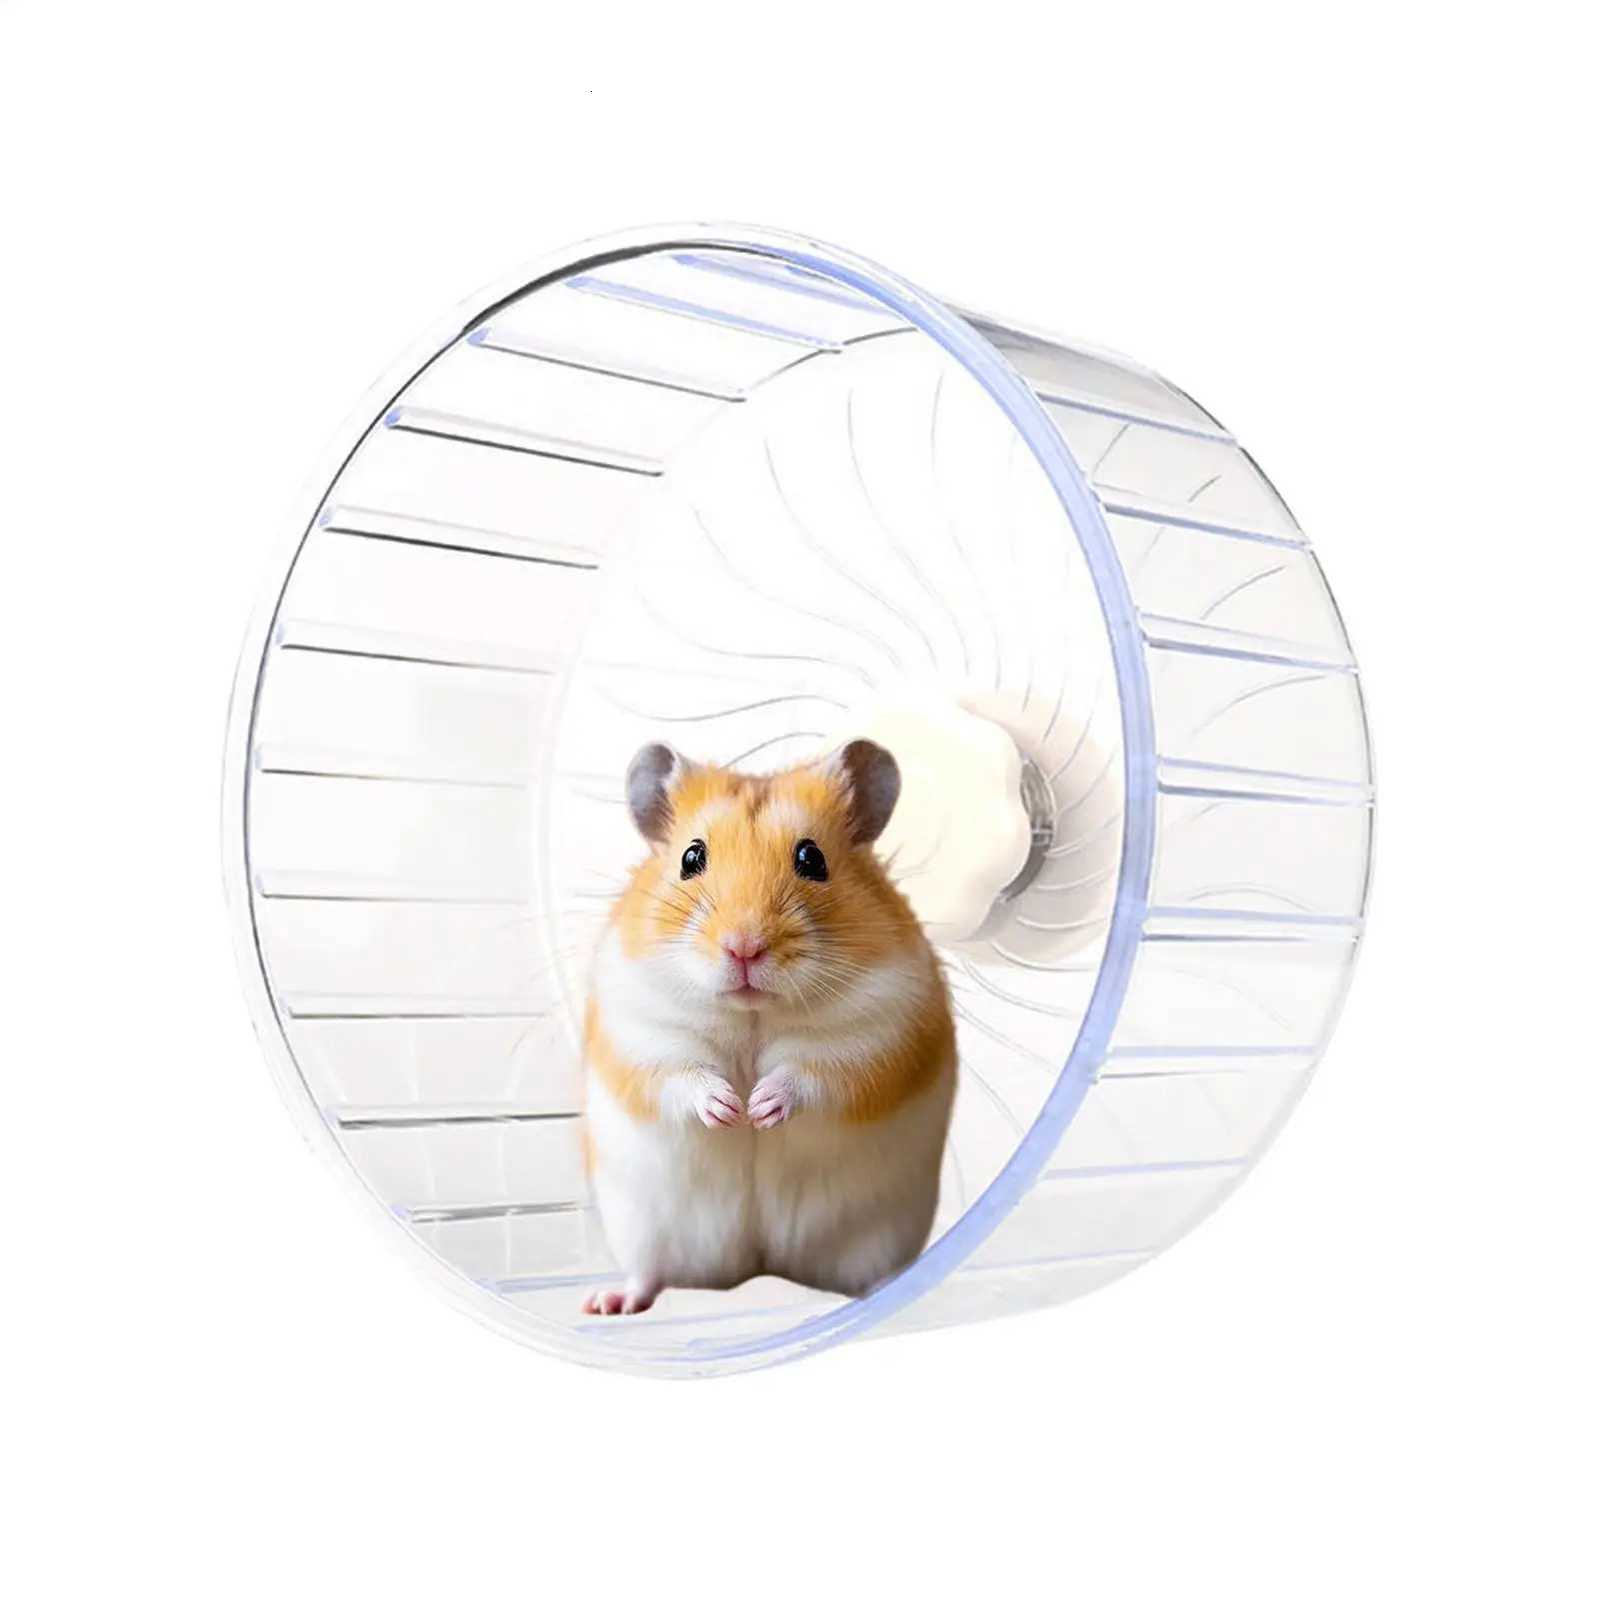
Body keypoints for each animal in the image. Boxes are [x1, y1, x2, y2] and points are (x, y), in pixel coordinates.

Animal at [580, 738, 957, 1316]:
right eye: (691, 858)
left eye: (812, 858)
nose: (744, 947)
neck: (752, 1013)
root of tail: (759, 1265)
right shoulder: (642, 1031)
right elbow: (683, 1074)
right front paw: (728, 1111)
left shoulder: (877, 1033)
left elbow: (809, 1075)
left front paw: (759, 1109)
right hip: (641, 1227)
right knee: (648, 1274)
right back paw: (606, 1303)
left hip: (880, 1236)